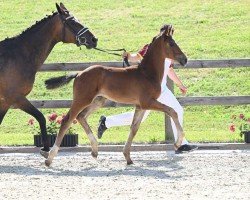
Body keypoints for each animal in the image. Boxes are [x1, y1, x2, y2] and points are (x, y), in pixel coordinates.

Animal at [0, 2, 97, 153]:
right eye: (72, 22)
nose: (93, 39)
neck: (19, 55)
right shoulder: (16, 97)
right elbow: (41, 117)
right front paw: (45, 148)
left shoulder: (6, 102)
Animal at [44, 25, 187, 166]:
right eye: (171, 43)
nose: (185, 59)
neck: (147, 74)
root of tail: (79, 74)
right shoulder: (147, 102)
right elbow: (172, 111)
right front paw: (177, 143)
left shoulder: (140, 106)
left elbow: (134, 128)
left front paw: (128, 157)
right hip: (82, 100)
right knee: (67, 120)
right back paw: (49, 158)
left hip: (98, 101)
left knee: (81, 117)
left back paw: (95, 150)